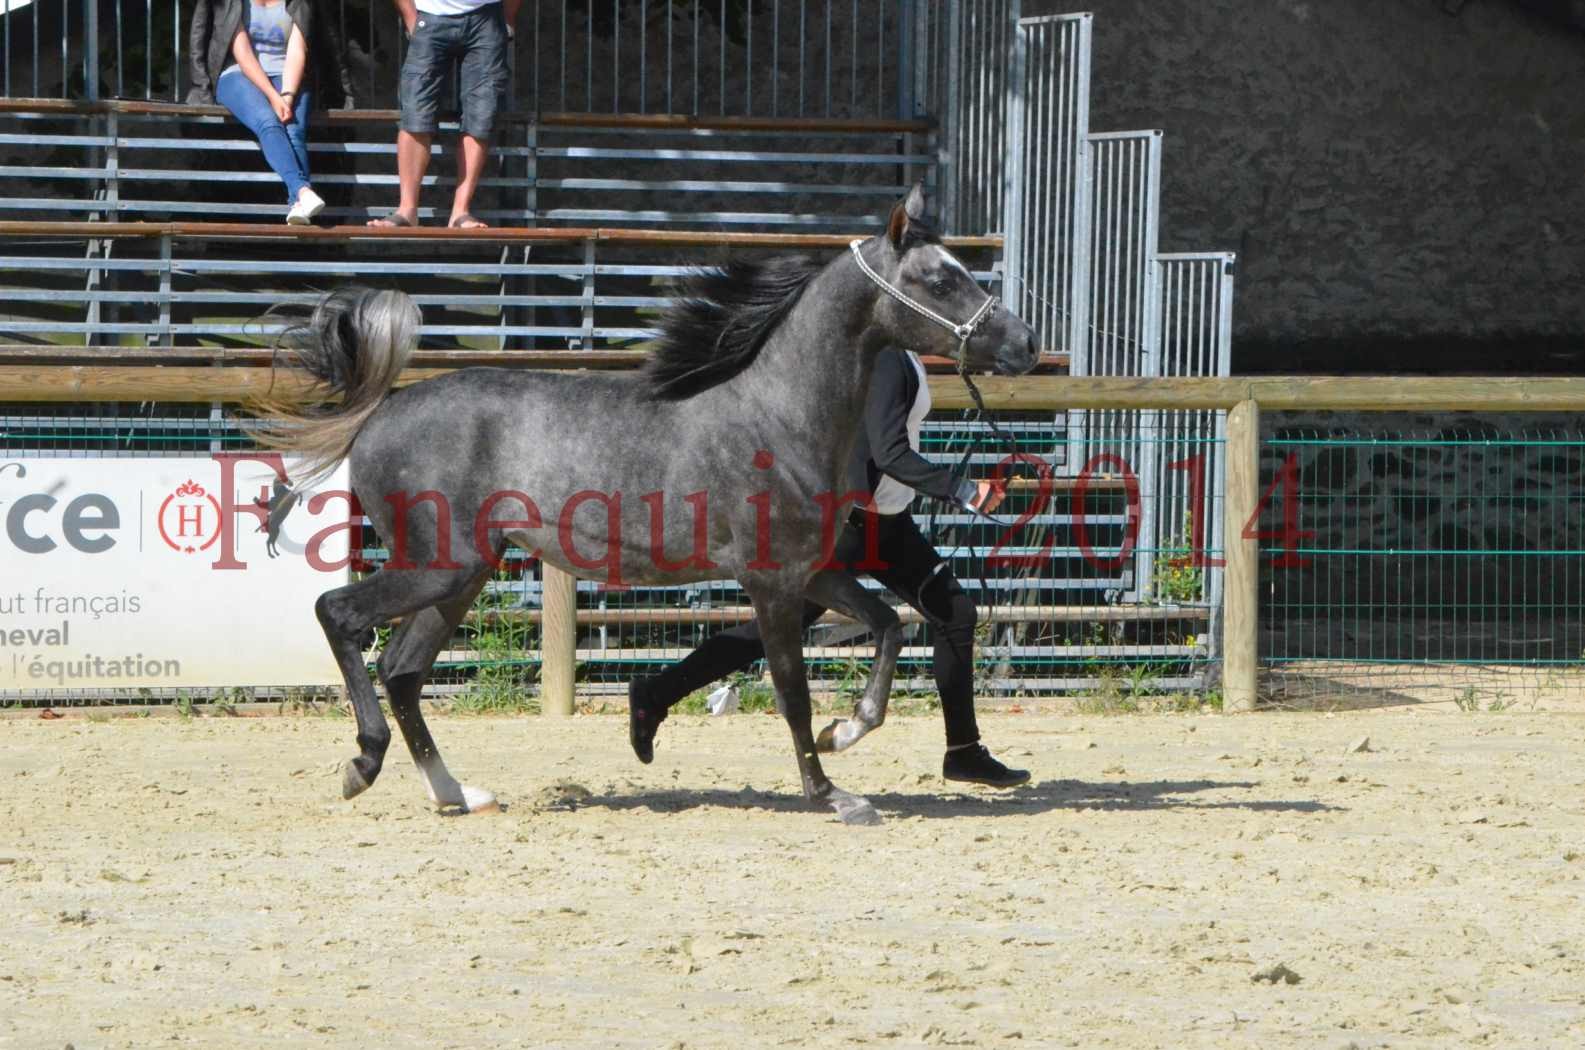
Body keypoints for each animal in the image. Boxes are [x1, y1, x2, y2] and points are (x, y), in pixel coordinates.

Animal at [255, 191, 1039, 831]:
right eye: (939, 278)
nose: (1025, 344)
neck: (779, 415)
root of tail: (379, 414)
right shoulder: (771, 584)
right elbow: (791, 691)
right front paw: (833, 793)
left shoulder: (811, 574)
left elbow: (888, 625)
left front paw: (846, 733)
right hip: (438, 565)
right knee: (339, 615)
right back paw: (363, 764)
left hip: (463, 575)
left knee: (403, 668)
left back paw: (459, 793)